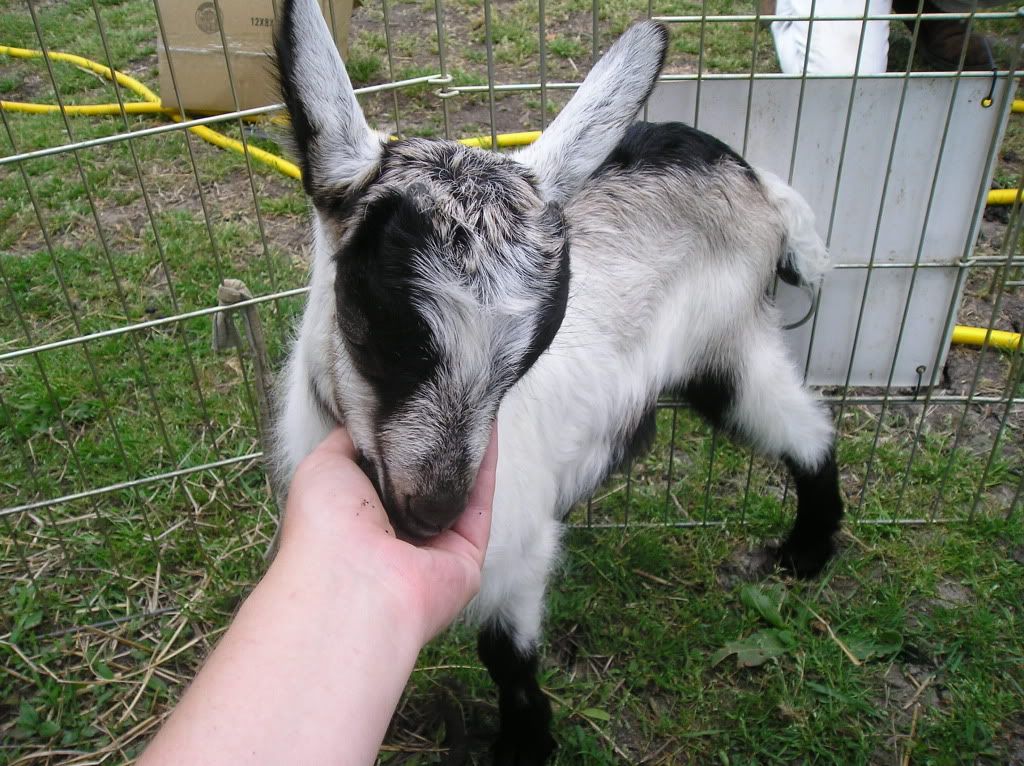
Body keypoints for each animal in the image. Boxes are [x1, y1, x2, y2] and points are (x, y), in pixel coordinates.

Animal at [272, 1, 844, 761]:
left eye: (524, 362)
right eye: (380, 330)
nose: (434, 513)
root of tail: (753, 177)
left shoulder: (516, 549)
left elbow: (506, 653)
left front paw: (525, 741)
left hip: (729, 345)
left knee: (805, 431)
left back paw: (805, 553)